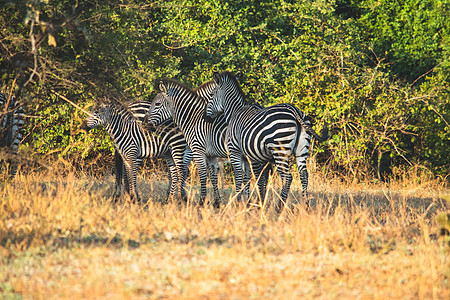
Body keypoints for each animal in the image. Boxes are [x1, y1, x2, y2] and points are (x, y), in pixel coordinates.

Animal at [206, 71, 328, 212]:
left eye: (211, 95)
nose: (205, 117)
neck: (234, 112)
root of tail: (294, 110)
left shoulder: (235, 151)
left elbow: (240, 176)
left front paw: (240, 202)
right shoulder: (255, 157)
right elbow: (255, 179)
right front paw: (254, 202)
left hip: (280, 149)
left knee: (287, 177)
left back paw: (280, 206)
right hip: (302, 149)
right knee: (304, 175)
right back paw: (306, 205)